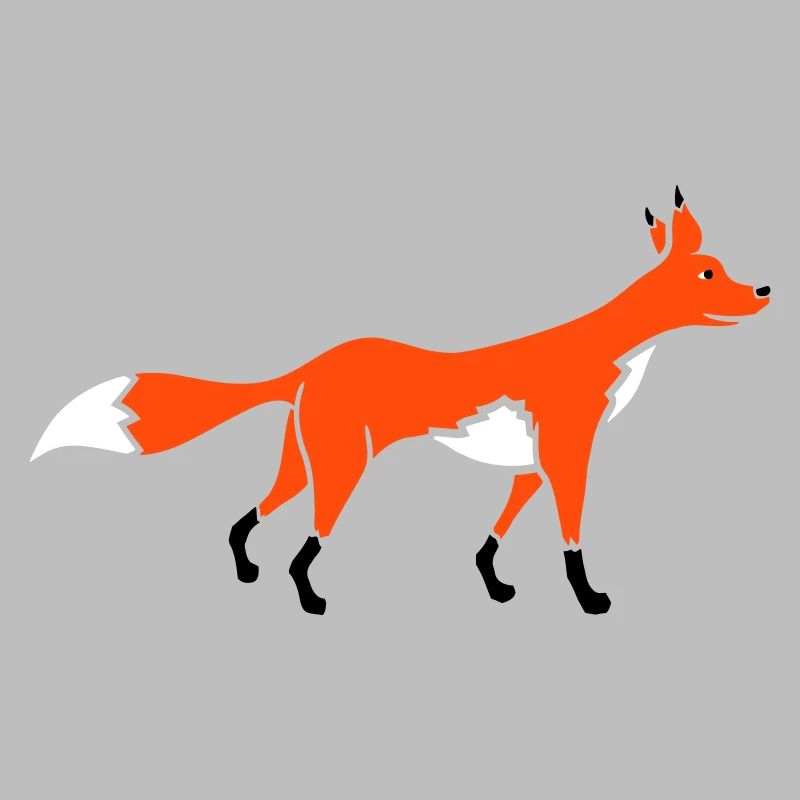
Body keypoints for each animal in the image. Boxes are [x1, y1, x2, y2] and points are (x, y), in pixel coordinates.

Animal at [31, 187, 770, 615]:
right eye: (709, 273)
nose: (765, 291)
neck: (599, 350)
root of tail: (311, 364)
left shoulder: (531, 467)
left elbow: (495, 535)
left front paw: (494, 587)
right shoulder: (568, 456)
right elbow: (572, 542)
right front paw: (588, 599)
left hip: (305, 463)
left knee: (246, 519)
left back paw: (246, 571)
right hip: (342, 470)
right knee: (304, 548)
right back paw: (310, 601)